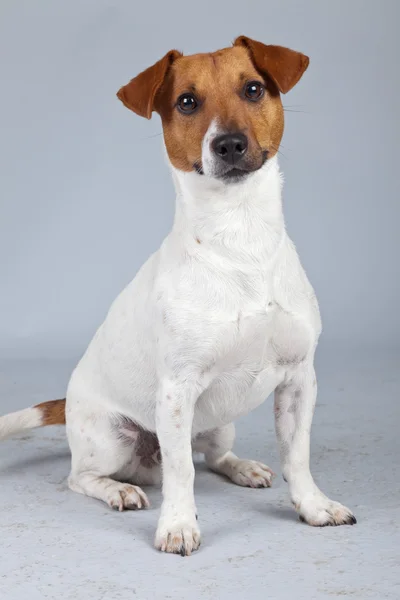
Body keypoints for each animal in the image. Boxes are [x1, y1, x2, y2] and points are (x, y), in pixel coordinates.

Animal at [0, 35, 356, 556]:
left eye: (253, 89)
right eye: (187, 102)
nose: (229, 143)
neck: (239, 238)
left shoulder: (298, 380)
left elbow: (297, 455)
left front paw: (313, 506)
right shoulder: (176, 390)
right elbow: (181, 472)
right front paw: (179, 526)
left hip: (220, 423)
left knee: (211, 455)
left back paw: (242, 467)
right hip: (113, 438)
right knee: (84, 476)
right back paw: (119, 490)